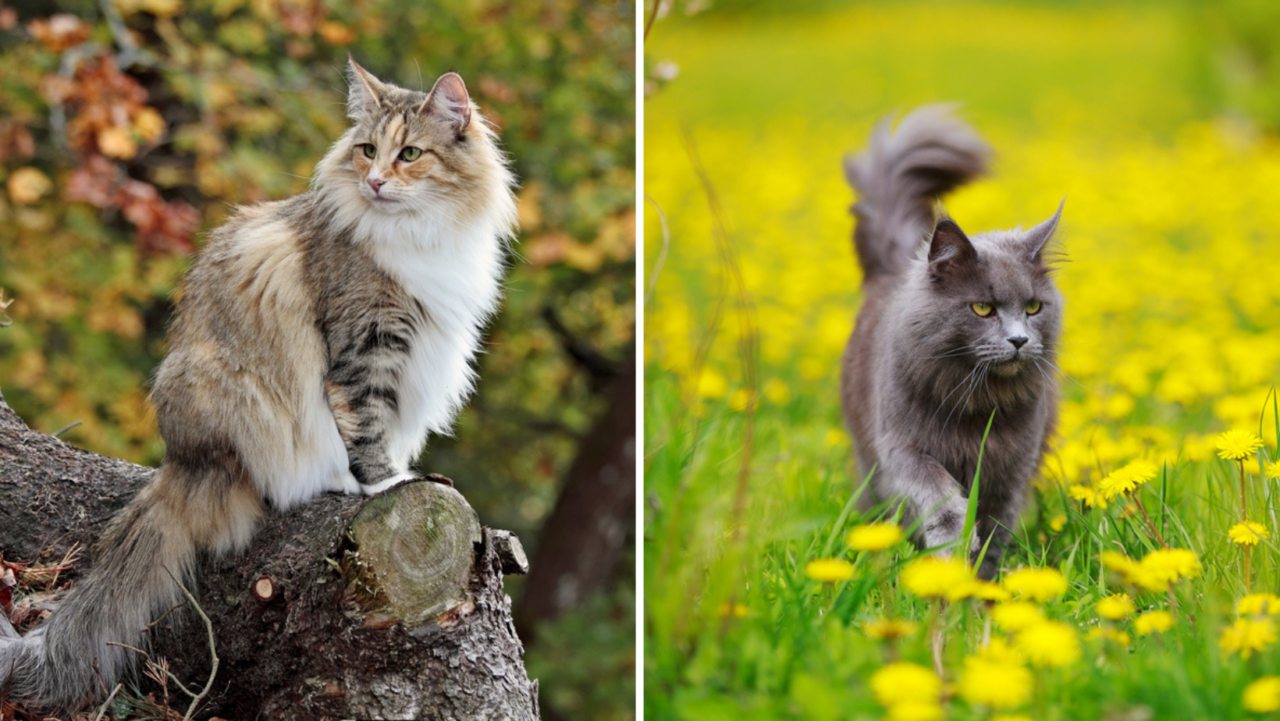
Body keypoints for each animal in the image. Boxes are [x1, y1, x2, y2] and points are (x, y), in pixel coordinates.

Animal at [2, 60, 519, 712]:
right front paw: (389, 483)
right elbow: (368, 428)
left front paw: (404, 471)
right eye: (368, 151)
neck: (422, 233)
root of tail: (181, 464)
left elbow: (393, 429)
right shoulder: (364, 347)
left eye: (410, 154)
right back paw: (331, 481)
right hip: (230, 394)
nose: (375, 182)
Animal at [844, 105, 1064, 581]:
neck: (976, 405)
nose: (1019, 339)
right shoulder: (902, 446)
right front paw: (950, 543)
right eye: (982, 308)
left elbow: (996, 527)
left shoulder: (1012, 468)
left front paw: (979, 583)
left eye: (1033, 307)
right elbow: (936, 489)